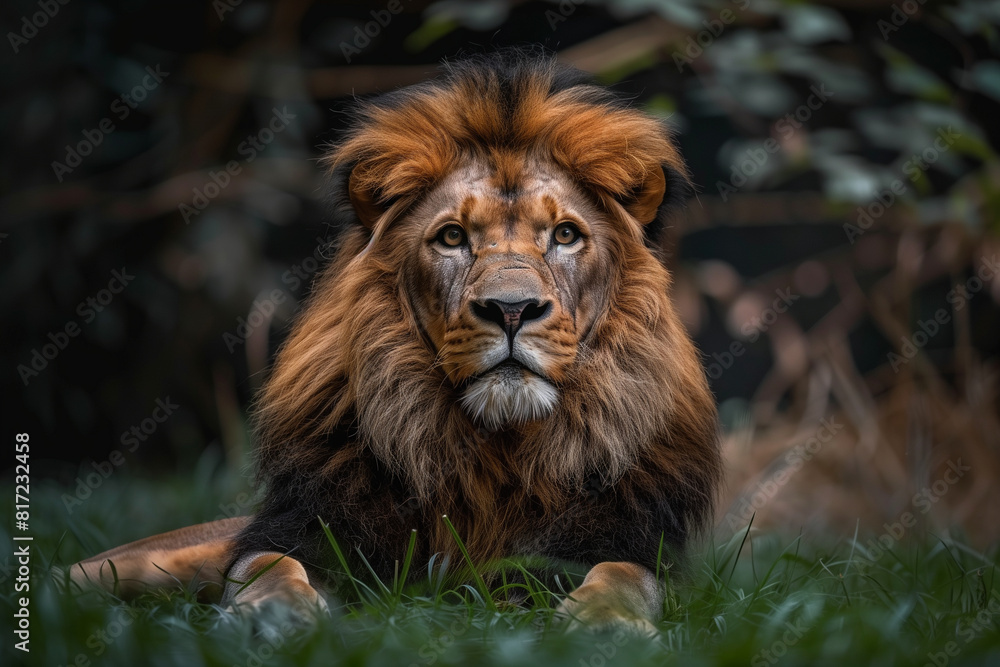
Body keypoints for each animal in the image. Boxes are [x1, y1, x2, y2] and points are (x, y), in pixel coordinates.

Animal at [70, 49, 722, 633]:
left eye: (565, 235)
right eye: (453, 237)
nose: (511, 309)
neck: (498, 452)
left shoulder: (624, 536)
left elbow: (623, 576)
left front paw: (603, 622)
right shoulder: (308, 528)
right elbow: (266, 566)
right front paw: (274, 613)